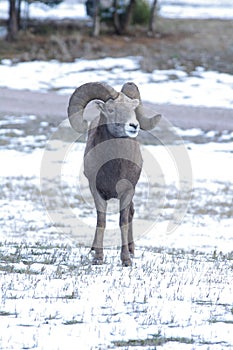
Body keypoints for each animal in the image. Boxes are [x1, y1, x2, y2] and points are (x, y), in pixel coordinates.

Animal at [68, 82, 161, 266]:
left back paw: (131, 251)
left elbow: (123, 222)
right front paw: (98, 257)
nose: (133, 126)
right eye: (111, 109)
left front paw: (126, 260)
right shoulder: (96, 191)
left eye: (133, 108)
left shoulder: (127, 192)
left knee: (131, 213)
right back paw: (92, 249)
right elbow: (101, 221)